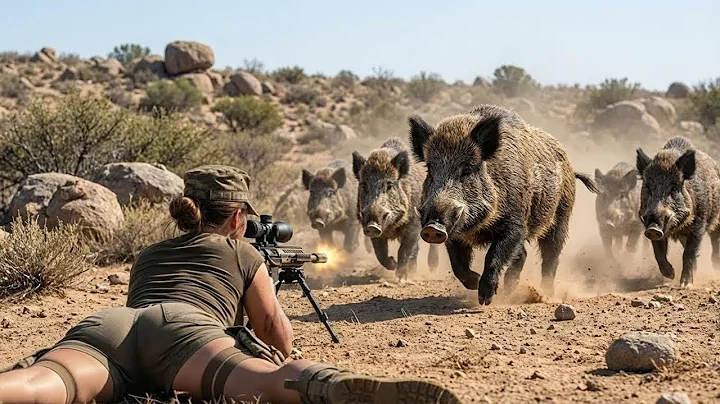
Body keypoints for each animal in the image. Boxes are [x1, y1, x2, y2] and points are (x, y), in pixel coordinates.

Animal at [351, 137, 440, 279]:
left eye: (390, 185)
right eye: (364, 185)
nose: (372, 225)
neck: (391, 228)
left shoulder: (414, 224)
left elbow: (404, 250)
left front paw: (401, 278)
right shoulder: (373, 232)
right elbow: (380, 253)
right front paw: (393, 264)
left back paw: (432, 269)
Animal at [409, 104, 600, 305]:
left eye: (467, 170)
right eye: (430, 171)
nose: (432, 227)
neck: (479, 227)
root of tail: (571, 169)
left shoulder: (515, 223)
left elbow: (493, 255)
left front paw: (485, 299)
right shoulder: (456, 234)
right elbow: (458, 266)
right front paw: (476, 282)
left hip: (562, 216)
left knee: (551, 257)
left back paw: (546, 294)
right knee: (522, 254)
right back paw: (510, 290)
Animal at [636, 136, 720, 287]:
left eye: (674, 188)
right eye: (648, 187)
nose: (653, 228)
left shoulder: (698, 224)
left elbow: (688, 254)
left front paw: (685, 285)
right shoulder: (650, 226)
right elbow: (658, 253)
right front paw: (670, 274)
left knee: (715, 238)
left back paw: (715, 267)